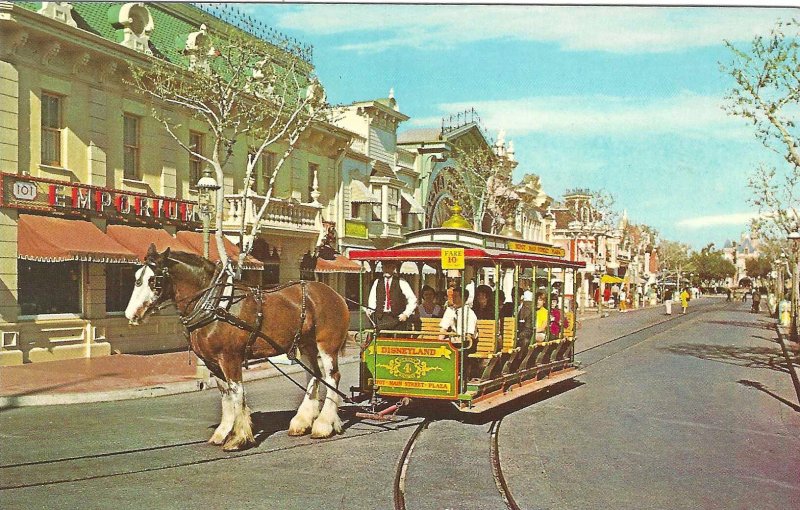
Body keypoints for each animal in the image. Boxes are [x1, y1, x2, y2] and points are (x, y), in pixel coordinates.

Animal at [126, 244, 350, 450]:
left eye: (153, 280)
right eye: (136, 277)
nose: (131, 314)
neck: (214, 304)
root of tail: (335, 295)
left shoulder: (229, 357)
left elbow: (237, 392)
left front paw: (238, 437)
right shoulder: (212, 362)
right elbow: (226, 396)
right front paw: (223, 432)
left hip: (326, 345)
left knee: (332, 377)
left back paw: (323, 425)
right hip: (305, 344)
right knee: (314, 376)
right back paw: (302, 422)